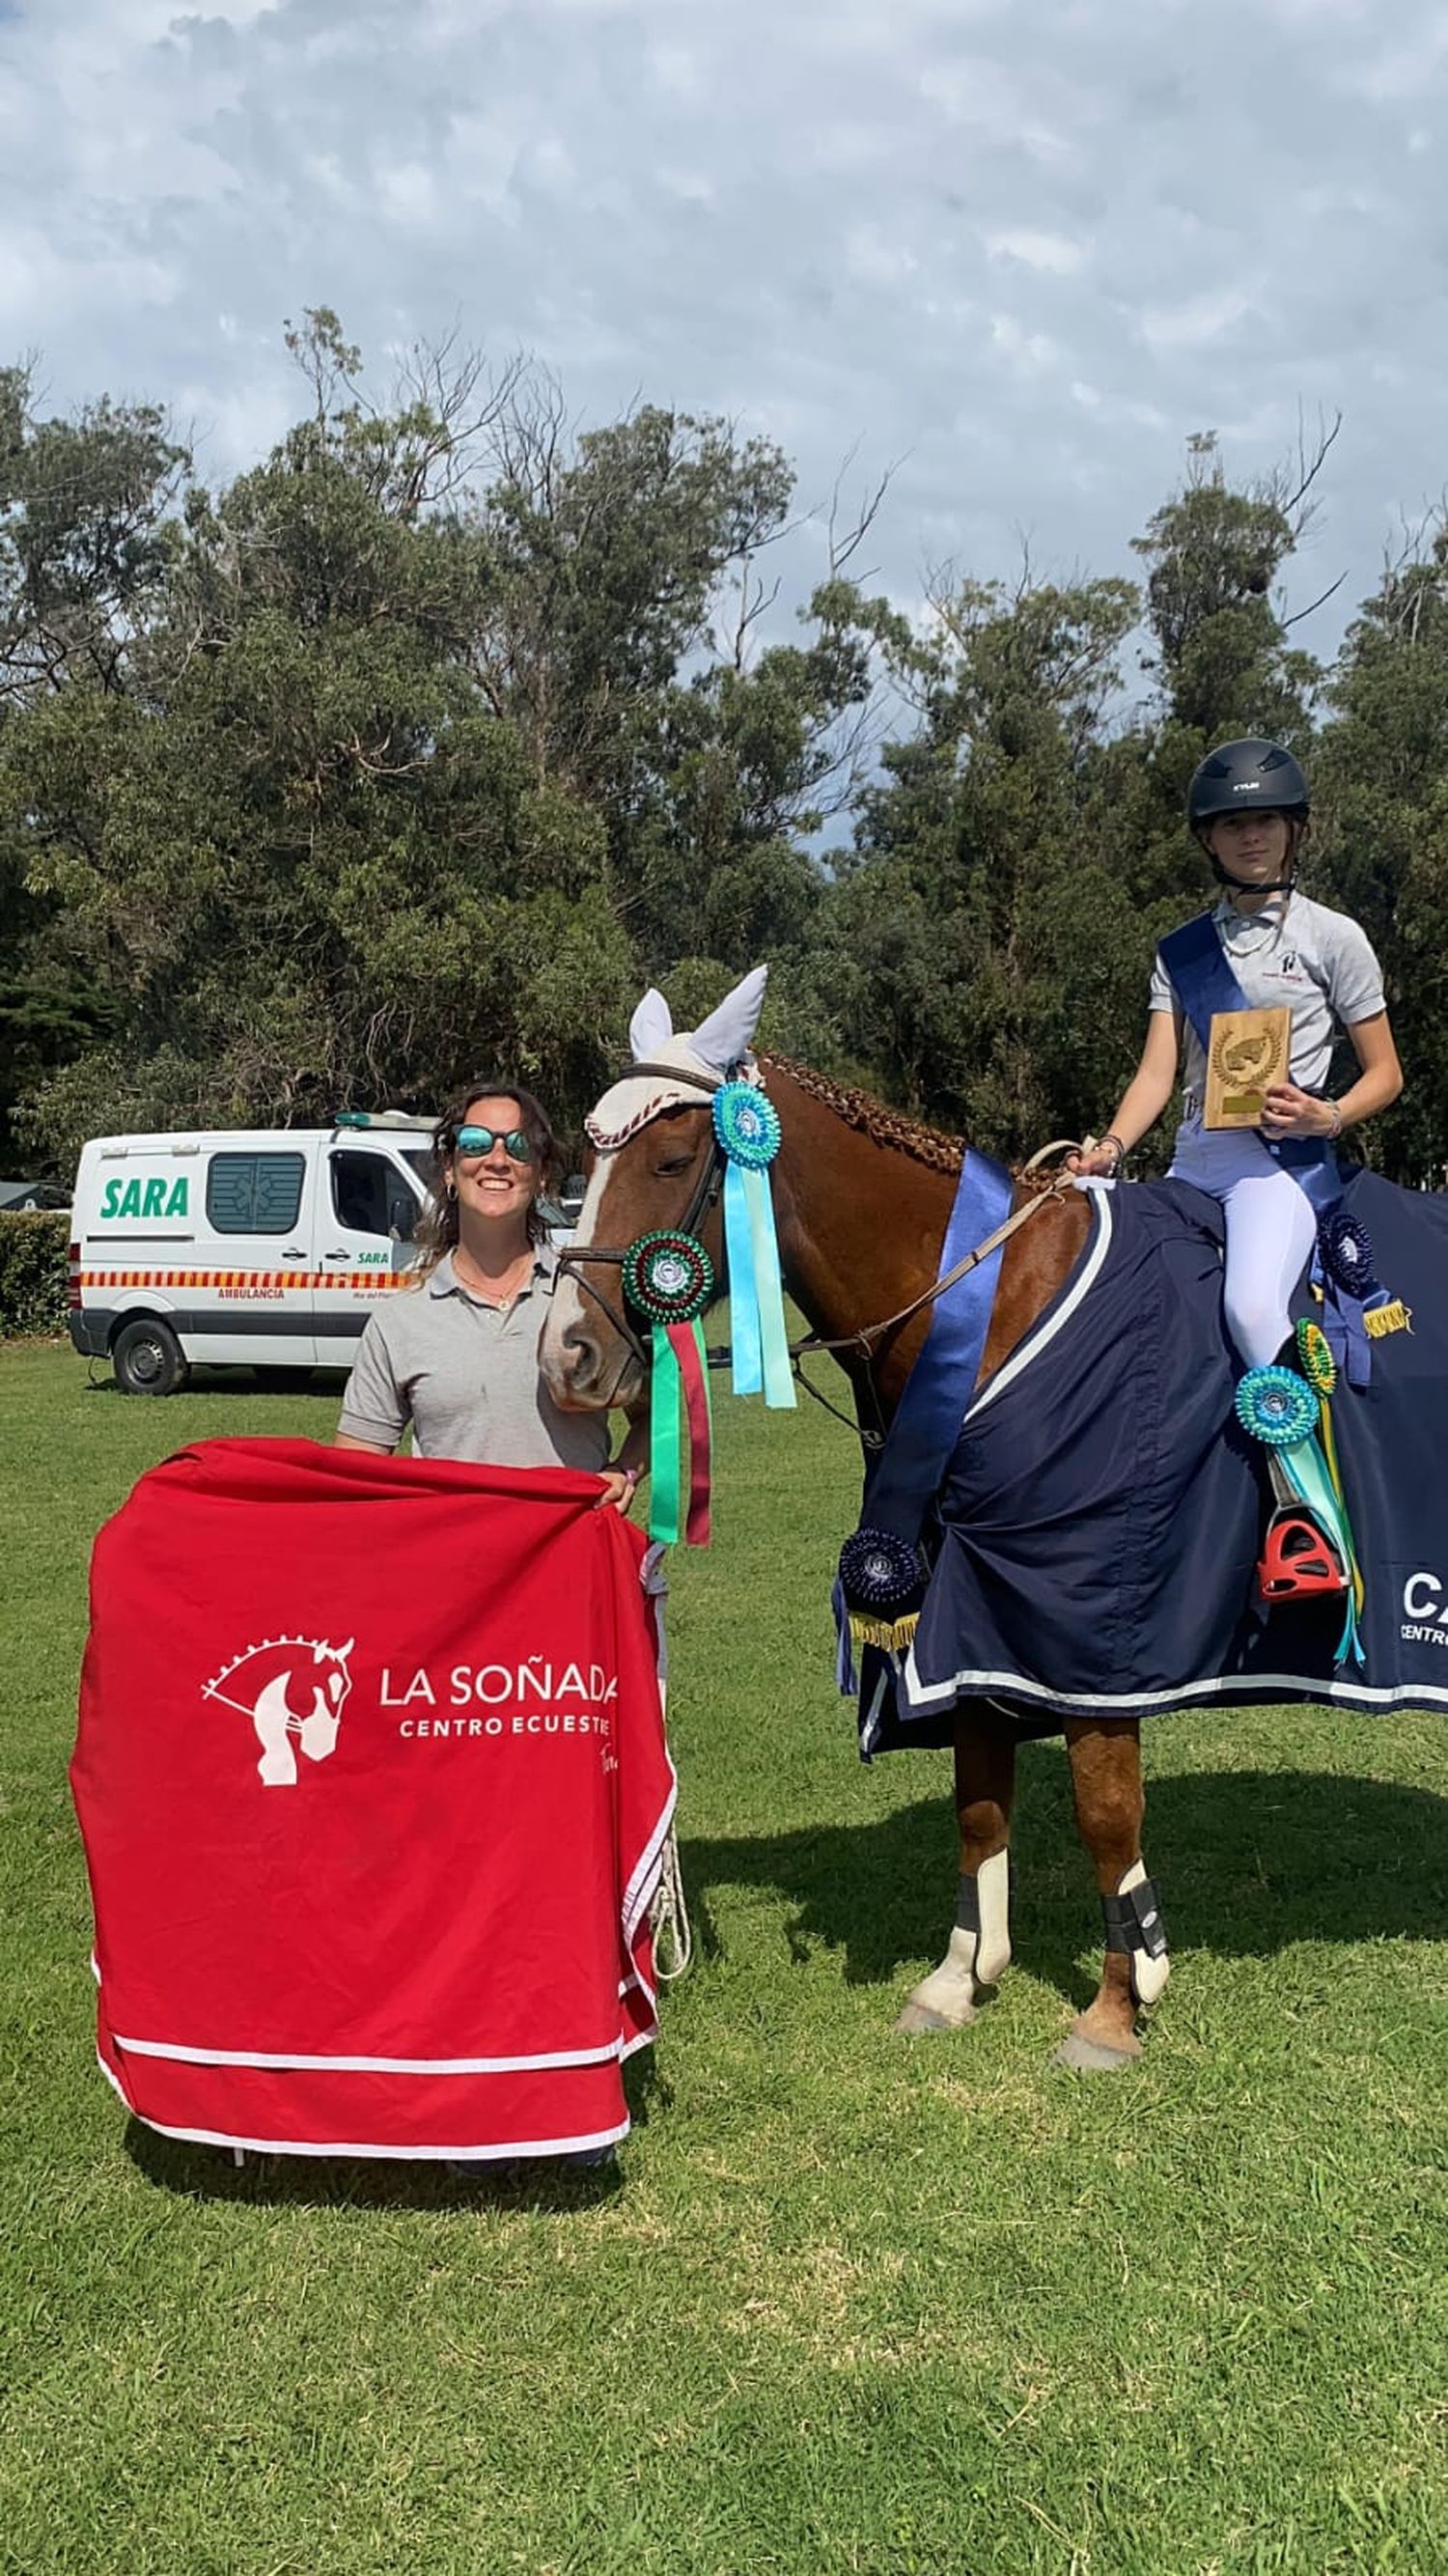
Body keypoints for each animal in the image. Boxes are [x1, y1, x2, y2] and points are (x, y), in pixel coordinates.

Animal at [538, 1035, 1159, 2060]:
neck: (992, 1305)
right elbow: (978, 1792)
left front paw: (1117, 2005)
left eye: (671, 1162)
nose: (566, 1358)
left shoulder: (1086, 1619)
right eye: (582, 1164)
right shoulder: (957, 1604)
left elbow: (1105, 1808)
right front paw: (958, 1978)